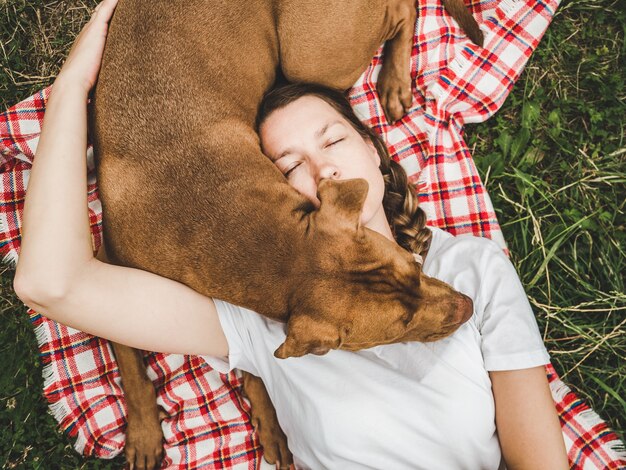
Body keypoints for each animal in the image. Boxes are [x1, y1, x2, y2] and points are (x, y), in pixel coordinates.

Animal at [90, 0, 482, 466]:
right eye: (398, 330)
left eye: (416, 266)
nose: (468, 306)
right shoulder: (109, 262)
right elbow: (130, 362)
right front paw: (145, 432)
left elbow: (252, 371)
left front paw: (271, 423)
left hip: (310, 58)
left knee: (402, 8)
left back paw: (394, 81)